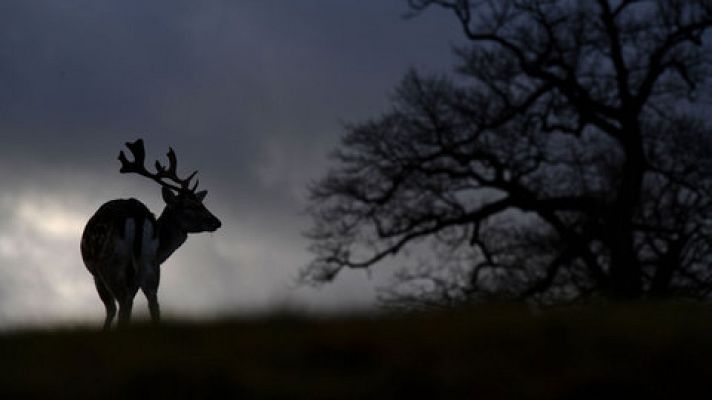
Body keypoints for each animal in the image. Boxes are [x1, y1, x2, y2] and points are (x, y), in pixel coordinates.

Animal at [81, 139, 220, 330]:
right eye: (191, 205)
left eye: (201, 204)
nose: (217, 222)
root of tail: (138, 216)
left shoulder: (96, 275)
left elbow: (110, 311)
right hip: (149, 265)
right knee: (153, 303)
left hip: (111, 263)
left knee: (122, 304)